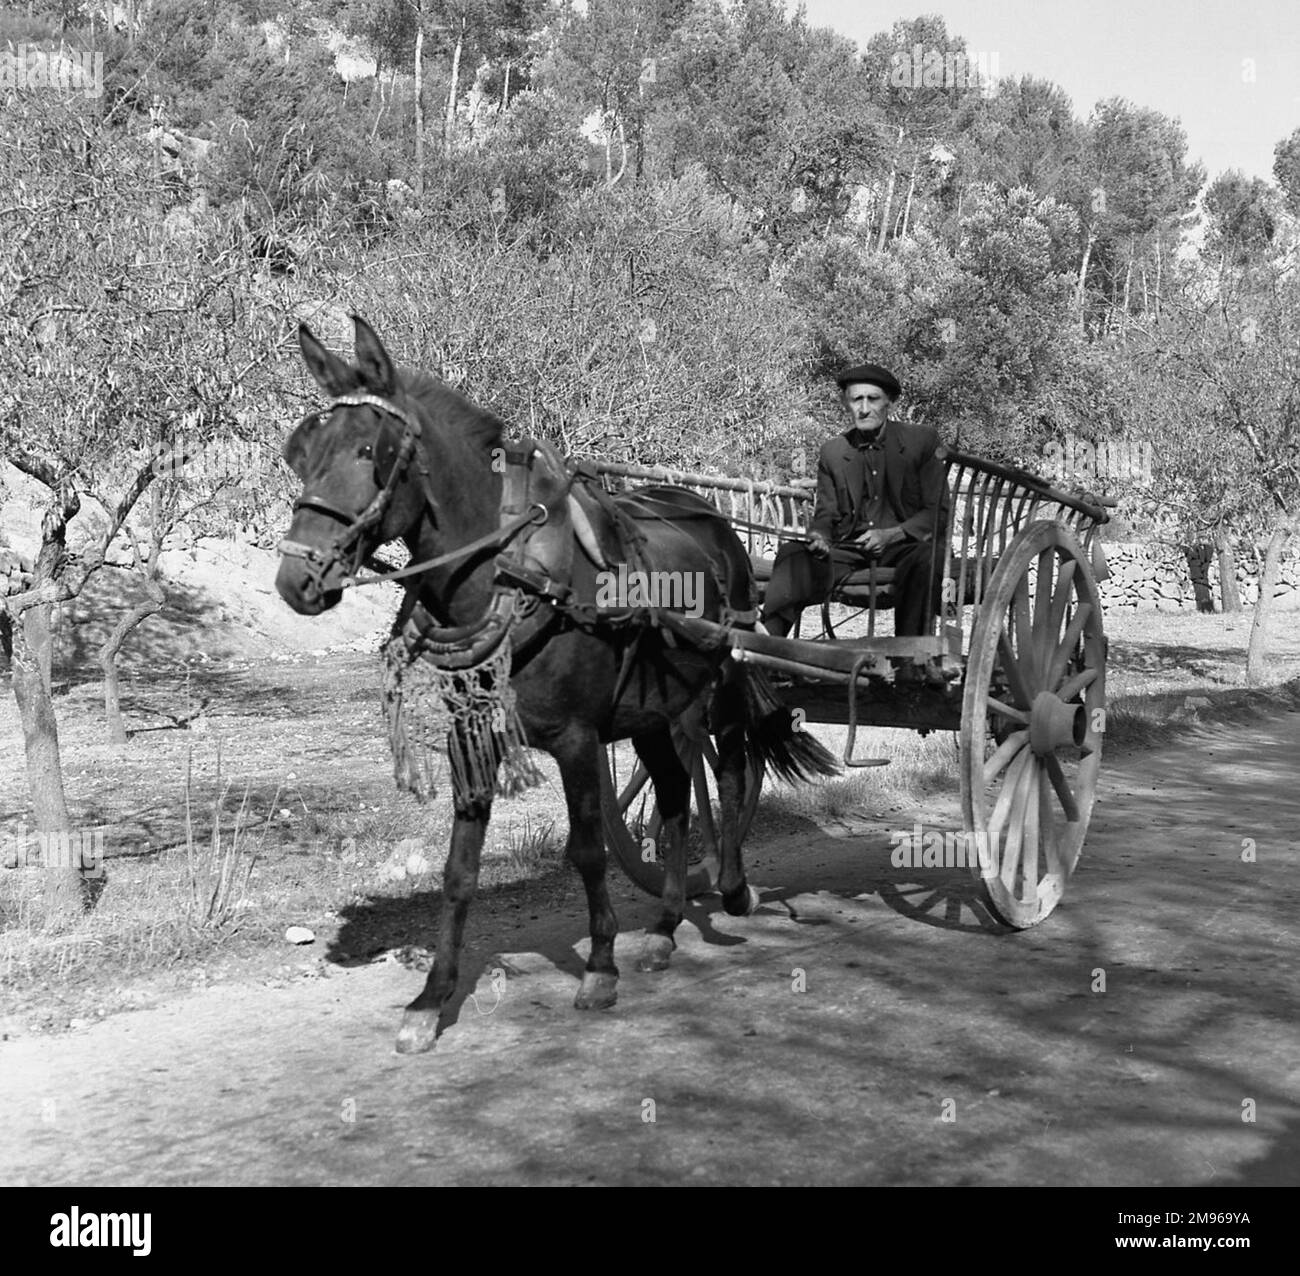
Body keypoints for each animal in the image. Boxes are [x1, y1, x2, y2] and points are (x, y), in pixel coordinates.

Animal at [278, 314, 837, 1055]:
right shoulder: (471, 737)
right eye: (300, 451)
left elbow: (588, 850)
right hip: (650, 713)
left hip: (713, 686)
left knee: (730, 769)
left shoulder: (576, 738)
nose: (296, 580)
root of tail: (710, 515)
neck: (511, 573)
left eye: (372, 450)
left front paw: (598, 968)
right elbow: (459, 870)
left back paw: (731, 887)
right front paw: (430, 1000)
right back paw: (665, 927)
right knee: (674, 793)